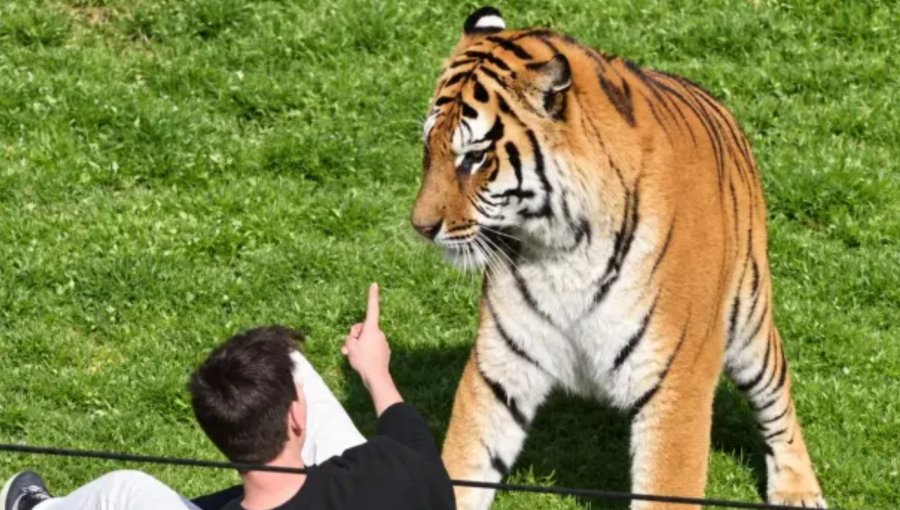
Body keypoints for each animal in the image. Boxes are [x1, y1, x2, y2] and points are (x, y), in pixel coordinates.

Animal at [410, 6, 826, 510]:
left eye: (474, 158)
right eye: (428, 147)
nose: (420, 226)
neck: (561, 248)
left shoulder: (676, 381)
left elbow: (667, 485)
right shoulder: (499, 368)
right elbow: (466, 463)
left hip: (748, 321)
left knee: (777, 395)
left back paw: (798, 489)